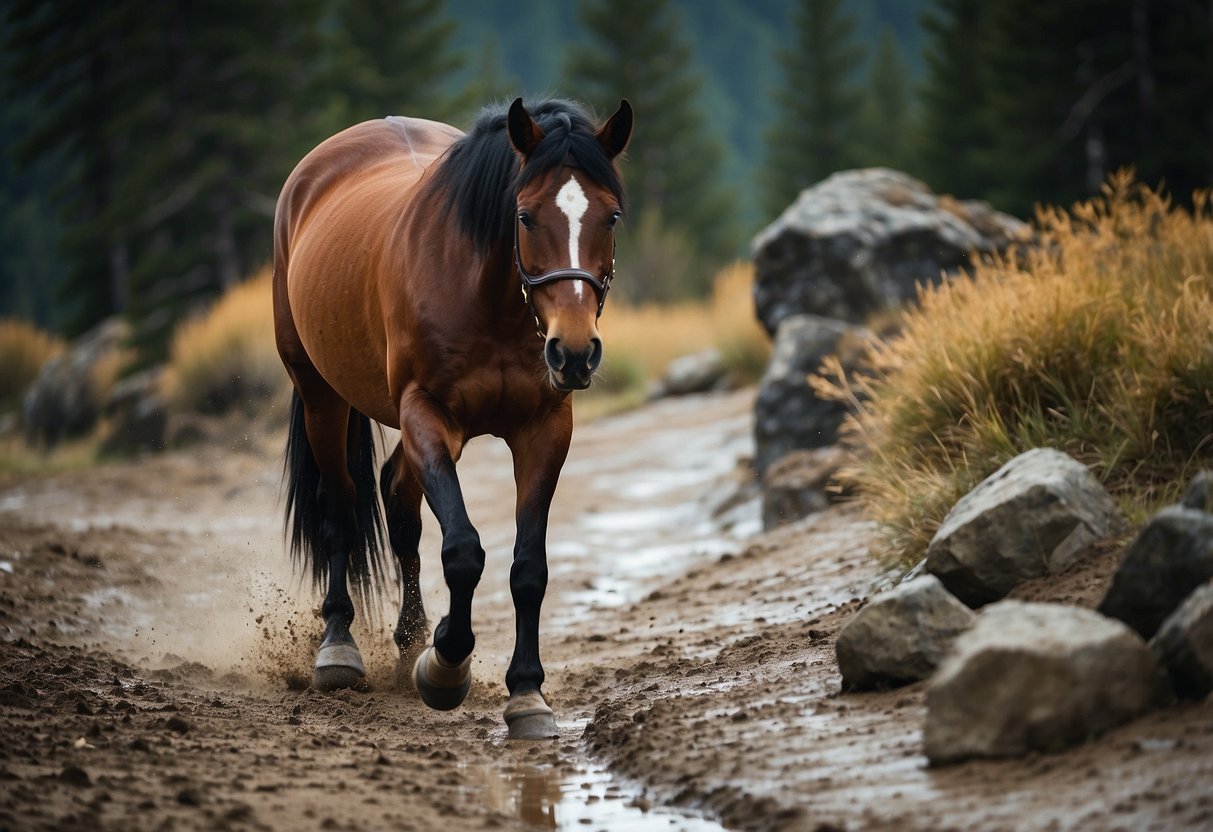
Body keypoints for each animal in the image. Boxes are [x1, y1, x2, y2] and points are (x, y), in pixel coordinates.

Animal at [272, 99, 635, 742]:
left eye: (610, 216)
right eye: (524, 215)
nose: (573, 352)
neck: (488, 298)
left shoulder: (544, 430)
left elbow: (528, 568)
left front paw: (526, 693)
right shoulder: (425, 413)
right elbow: (463, 549)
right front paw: (446, 665)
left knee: (397, 499)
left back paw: (408, 639)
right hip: (321, 397)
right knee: (341, 505)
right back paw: (339, 648)